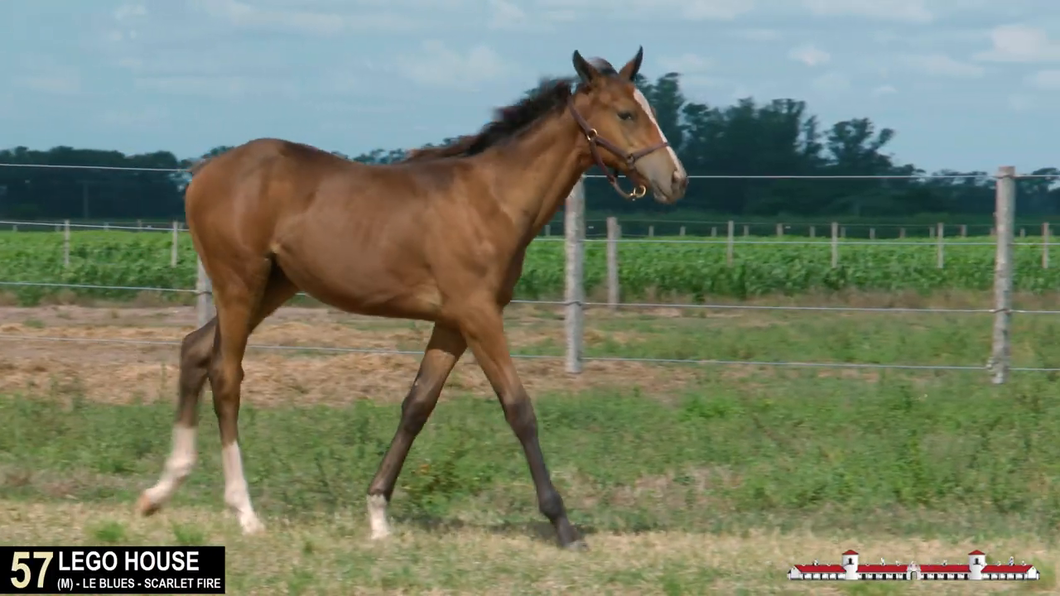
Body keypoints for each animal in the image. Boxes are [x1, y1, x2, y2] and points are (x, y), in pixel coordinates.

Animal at [134, 46, 686, 547]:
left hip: (271, 287)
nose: (676, 179)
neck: (491, 200)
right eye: (626, 113)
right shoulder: (479, 316)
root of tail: (202, 173)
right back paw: (245, 512)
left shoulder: (453, 323)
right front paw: (564, 525)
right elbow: (519, 409)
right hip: (239, 283)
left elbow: (418, 404)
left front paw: (378, 513)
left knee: (194, 350)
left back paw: (160, 492)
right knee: (226, 376)